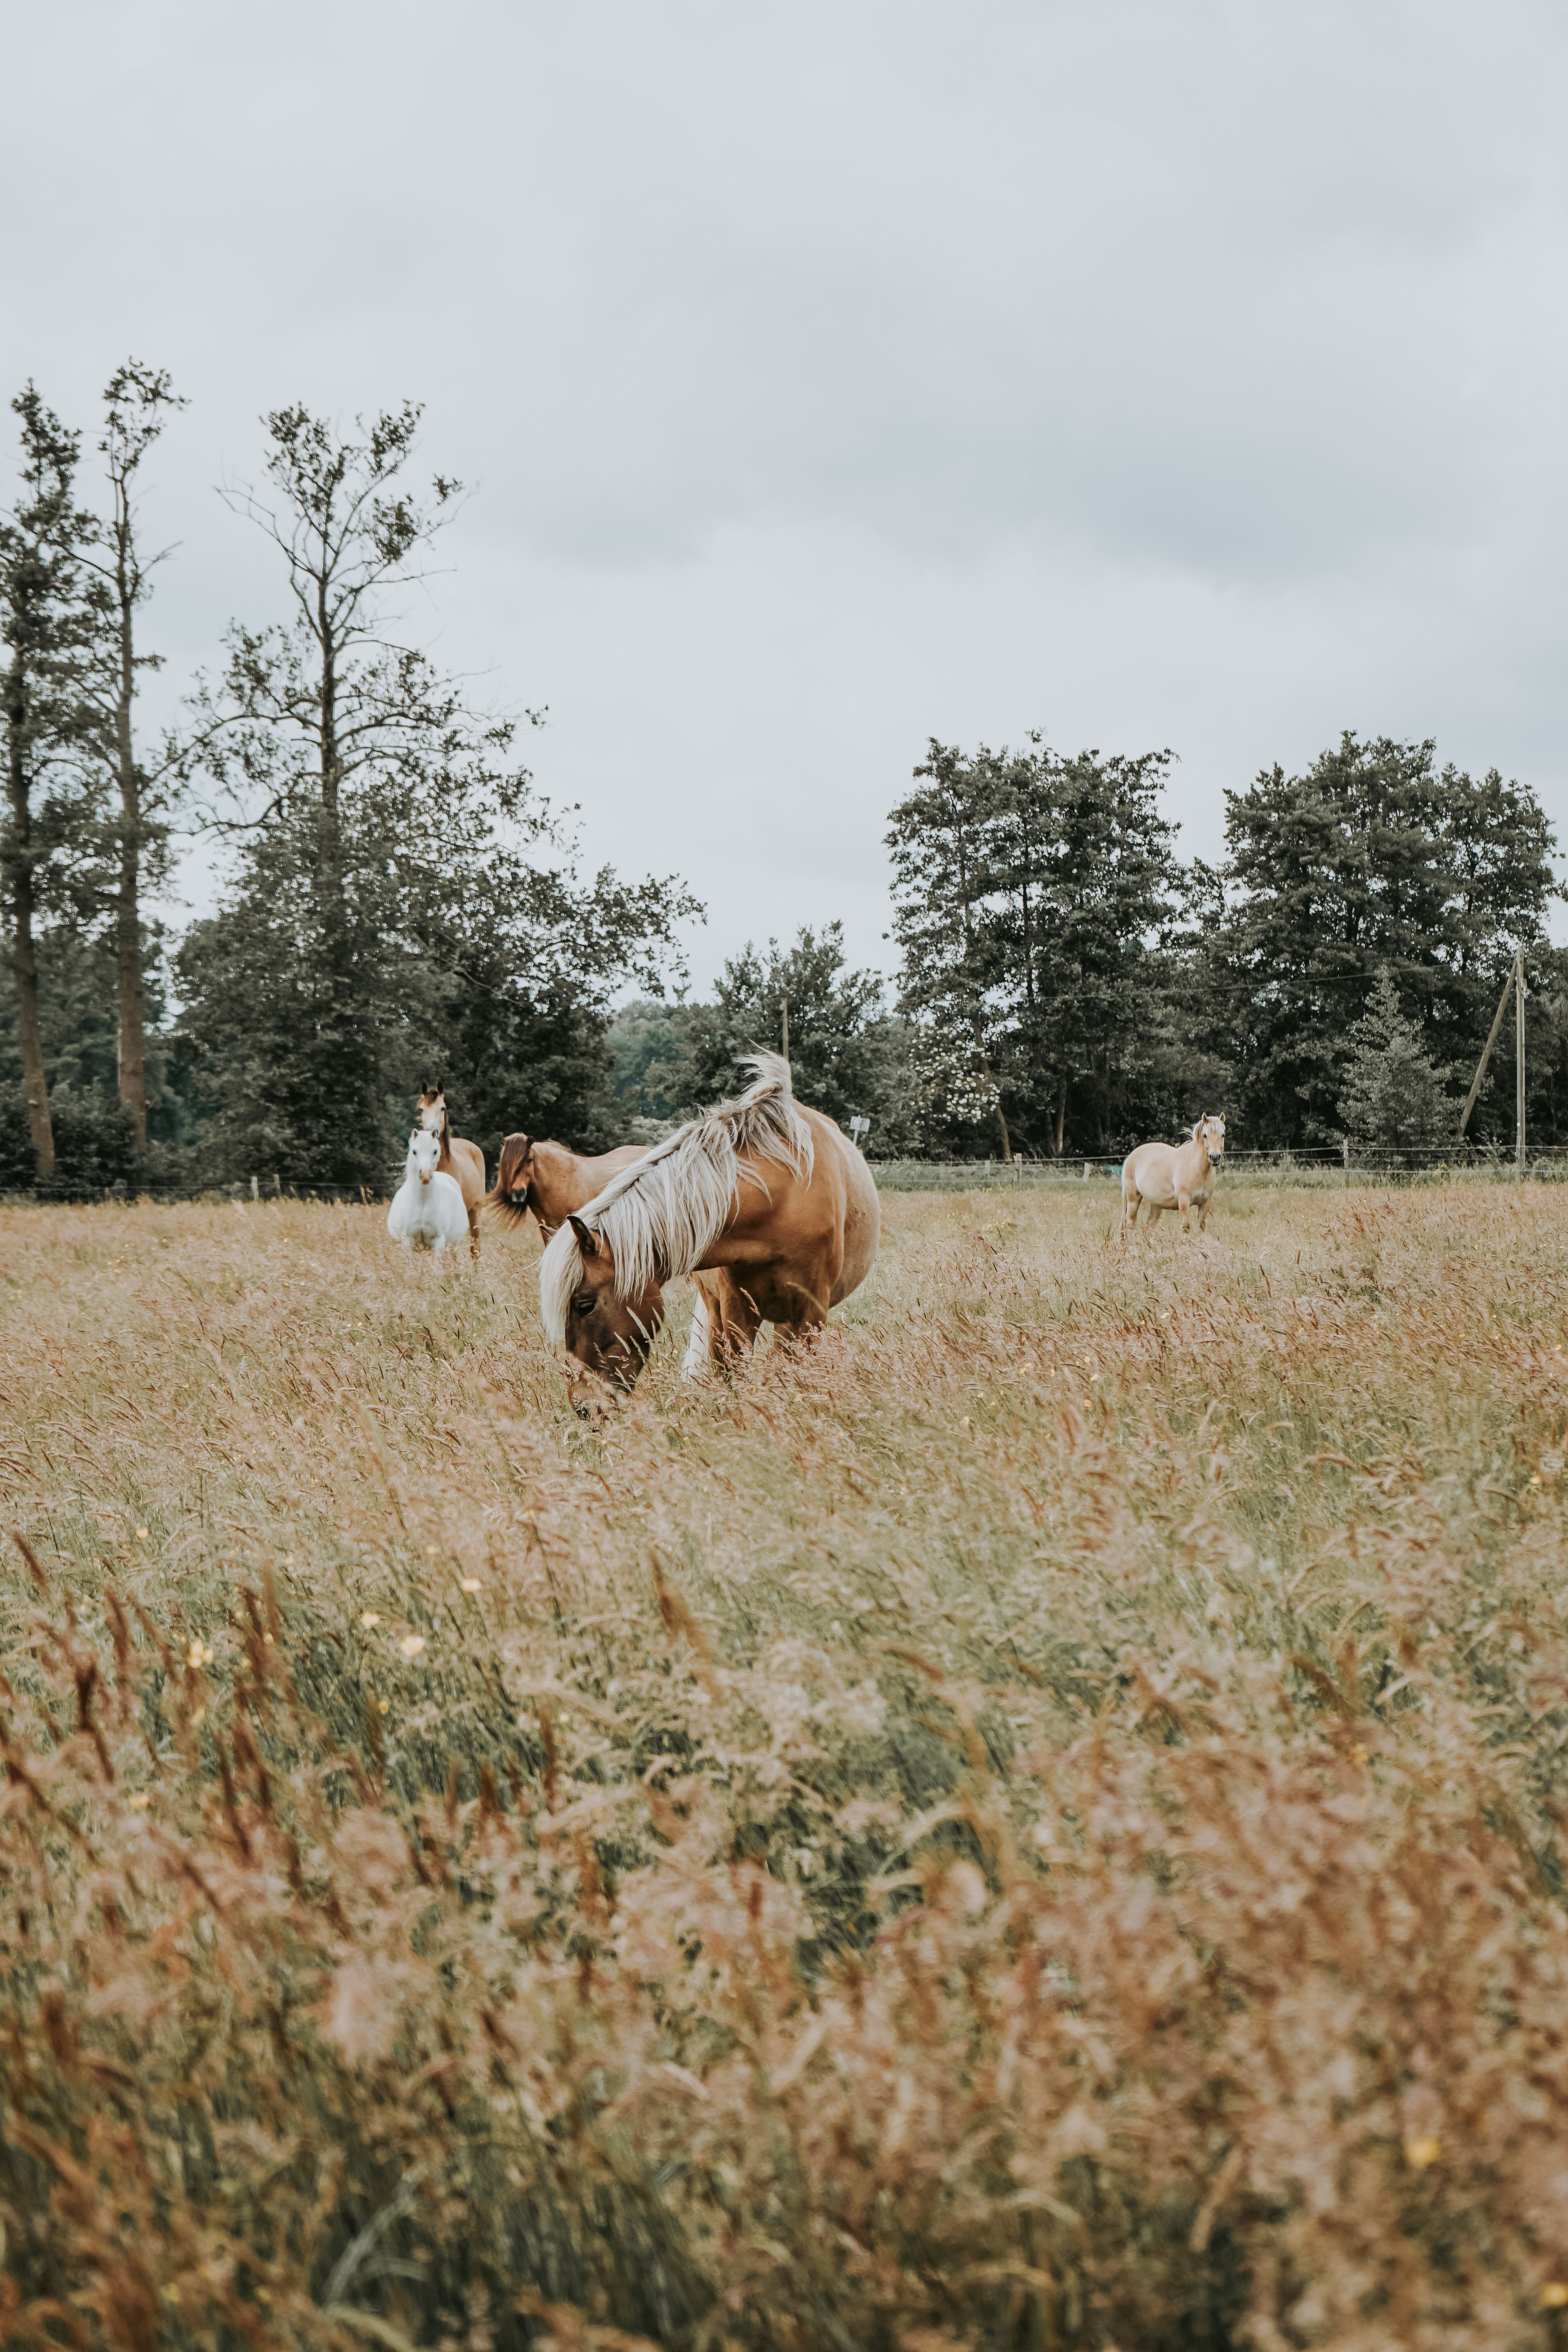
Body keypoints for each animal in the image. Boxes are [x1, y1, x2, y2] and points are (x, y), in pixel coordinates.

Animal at [388, 1128, 470, 1255]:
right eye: (414, 1152)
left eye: (435, 1151)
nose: (425, 1176)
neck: (422, 1202)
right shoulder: (408, 1241)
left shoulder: (439, 1241)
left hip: (452, 1246)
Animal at [538, 1053, 881, 1415]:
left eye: (585, 1305)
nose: (583, 1405)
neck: (784, 1199)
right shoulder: (735, 1312)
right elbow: (736, 1376)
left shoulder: (810, 1314)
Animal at [1121, 1115, 1227, 1237]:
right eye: (1205, 1135)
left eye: (1223, 1135)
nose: (1215, 1157)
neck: (1197, 1168)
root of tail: (1130, 1157)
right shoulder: (1184, 1201)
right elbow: (1186, 1228)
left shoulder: (1205, 1203)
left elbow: (1201, 1228)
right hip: (1134, 1200)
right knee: (1130, 1224)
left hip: (1156, 1205)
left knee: (1149, 1225)